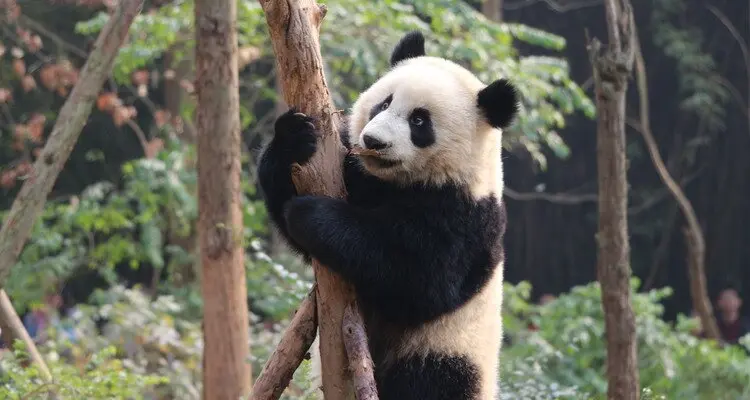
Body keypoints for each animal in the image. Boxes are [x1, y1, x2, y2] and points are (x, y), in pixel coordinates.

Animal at [256, 31, 517, 400]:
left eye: (419, 120)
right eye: (384, 103)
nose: (373, 140)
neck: (398, 181)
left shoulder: (466, 217)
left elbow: (416, 276)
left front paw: (310, 212)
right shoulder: (355, 172)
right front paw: (293, 137)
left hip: (446, 349)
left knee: (431, 380)